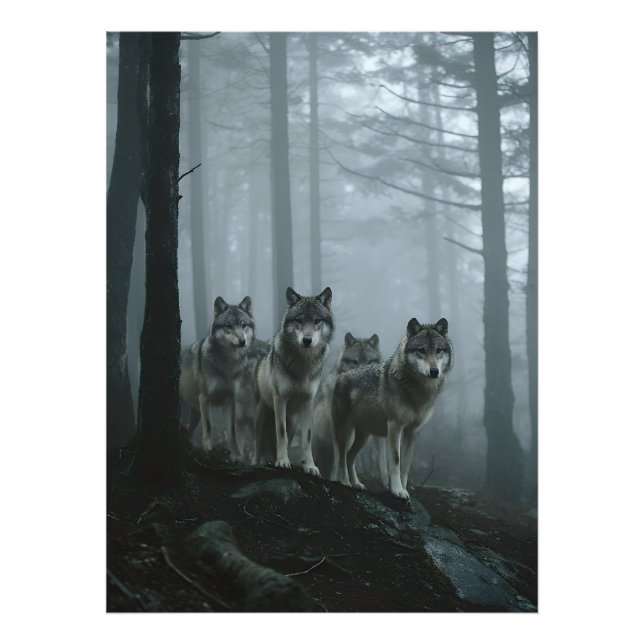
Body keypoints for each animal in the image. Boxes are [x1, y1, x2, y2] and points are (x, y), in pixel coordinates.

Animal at [179, 296, 255, 461]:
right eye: (228, 326)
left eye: (244, 325)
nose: (242, 341)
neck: (227, 364)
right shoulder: (205, 398)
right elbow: (209, 426)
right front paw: (208, 450)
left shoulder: (229, 400)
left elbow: (231, 432)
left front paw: (236, 455)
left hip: (195, 413)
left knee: (188, 431)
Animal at [253, 286, 334, 475]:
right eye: (299, 320)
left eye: (317, 320)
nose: (307, 340)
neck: (303, 363)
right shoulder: (280, 399)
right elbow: (280, 433)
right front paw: (282, 461)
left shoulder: (308, 401)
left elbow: (307, 437)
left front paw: (310, 465)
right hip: (261, 414)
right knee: (257, 444)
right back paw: (256, 463)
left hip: (293, 423)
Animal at [332, 317, 452, 499]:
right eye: (421, 350)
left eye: (439, 350)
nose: (434, 371)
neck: (418, 391)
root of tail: (341, 376)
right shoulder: (395, 426)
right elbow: (395, 461)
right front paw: (397, 490)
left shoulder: (413, 431)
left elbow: (406, 466)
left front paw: (404, 489)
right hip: (346, 430)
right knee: (341, 455)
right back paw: (345, 482)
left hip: (364, 436)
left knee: (349, 456)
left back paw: (356, 484)